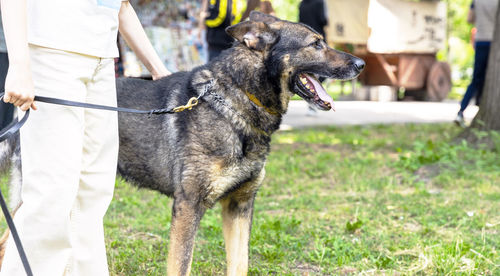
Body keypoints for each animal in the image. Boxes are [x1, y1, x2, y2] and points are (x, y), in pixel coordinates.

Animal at [0, 11, 364, 274]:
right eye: (315, 44)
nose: (360, 64)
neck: (236, 100)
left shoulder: (239, 207)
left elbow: (240, 264)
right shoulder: (188, 206)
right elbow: (180, 265)